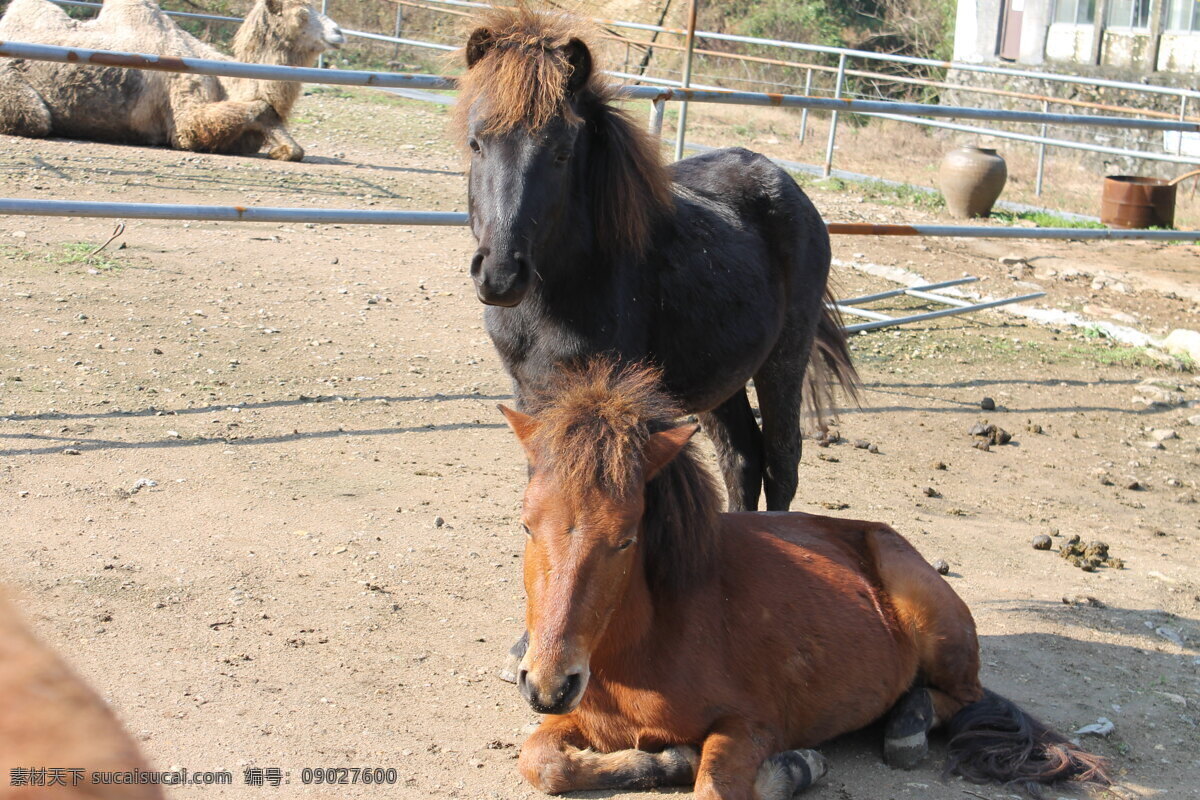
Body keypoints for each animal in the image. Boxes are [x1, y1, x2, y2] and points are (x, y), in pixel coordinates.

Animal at [1, 0, 348, 160]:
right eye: (301, 13)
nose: (339, 33)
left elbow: (267, 113)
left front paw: (285, 149)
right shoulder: (185, 117)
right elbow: (261, 106)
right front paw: (285, 149)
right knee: (36, 119)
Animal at [453, 6, 859, 510]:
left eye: (562, 153)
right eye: (476, 143)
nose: (501, 275)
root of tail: (791, 189)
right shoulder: (532, 395)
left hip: (784, 359)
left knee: (781, 463)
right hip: (721, 374)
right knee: (741, 460)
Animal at [496, 364, 1104, 800]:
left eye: (625, 538)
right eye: (526, 524)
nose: (548, 684)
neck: (647, 646)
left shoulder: (753, 724)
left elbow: (717, 787)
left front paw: (792, 769)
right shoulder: (583, 720)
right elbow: (541, 763)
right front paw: (669, 760)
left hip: (931, 612)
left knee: (961, 696)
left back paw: (906, 724)